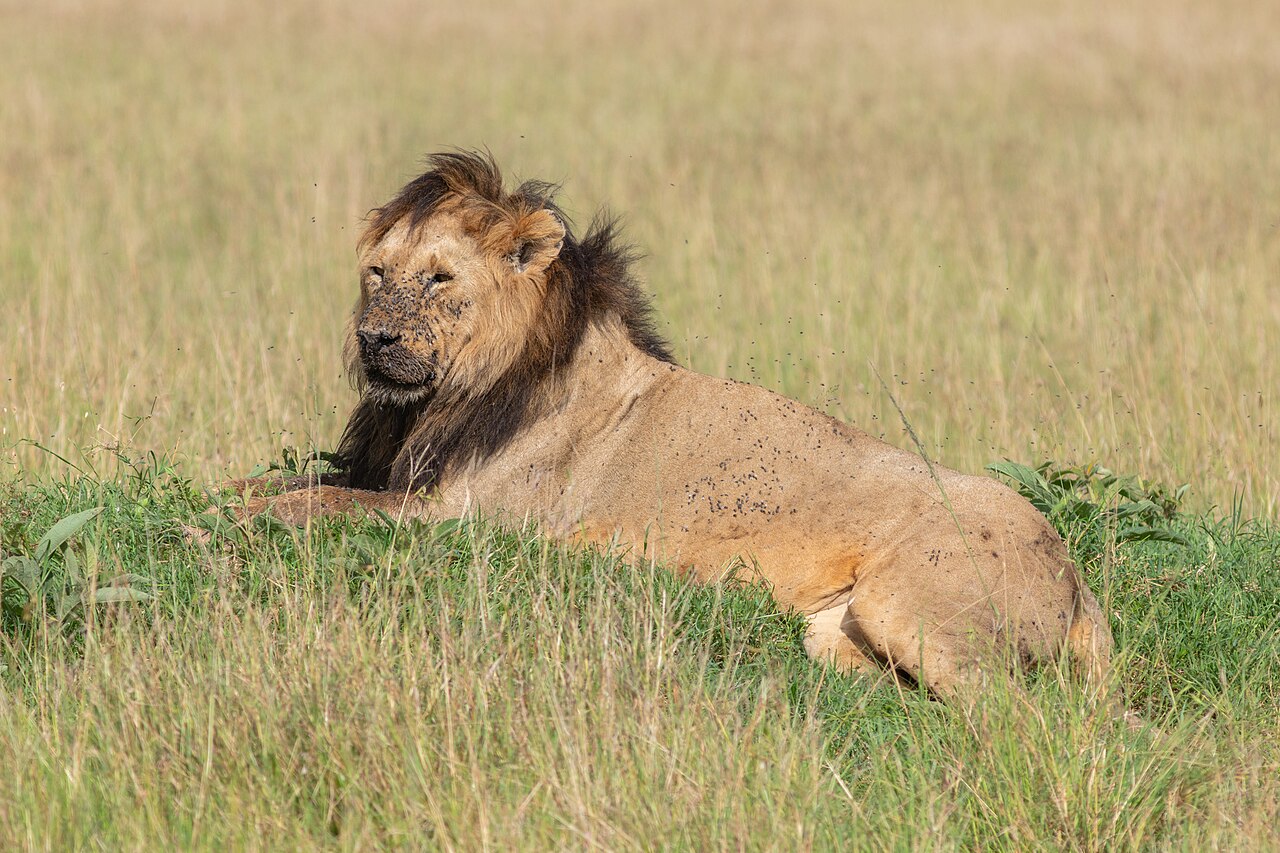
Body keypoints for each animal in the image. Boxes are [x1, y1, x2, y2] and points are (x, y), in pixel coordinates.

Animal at [234, 151, 1113, 698]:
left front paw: (239, 520)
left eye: (439, 279)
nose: (374, 338)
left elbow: (318, 503)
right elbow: (283, 480)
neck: (444, 398)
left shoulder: (466, 518)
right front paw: (232, 494)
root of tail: (1076, 575)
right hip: (837, 633)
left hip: (917, 611)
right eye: (376, 273)